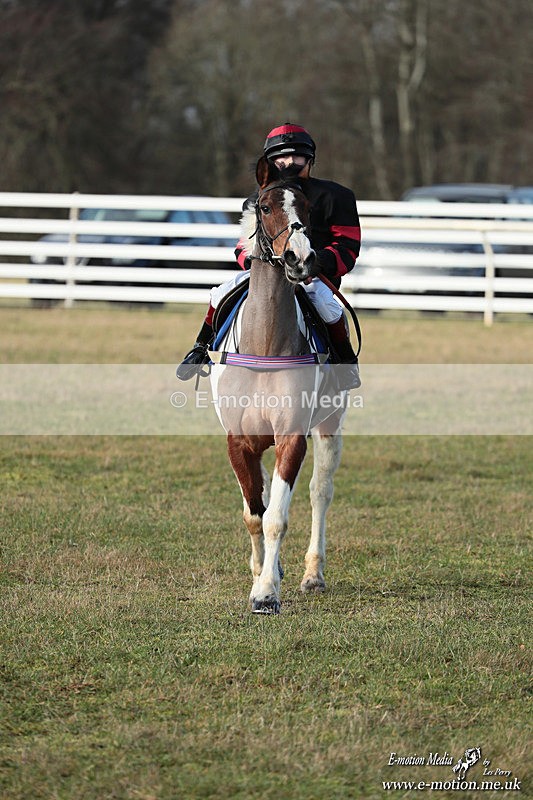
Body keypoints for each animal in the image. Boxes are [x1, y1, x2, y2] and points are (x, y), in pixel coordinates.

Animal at [211, 156, 347, 615]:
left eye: (306, 209)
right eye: (266, 207)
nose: (299, 258)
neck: (266, 343)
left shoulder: (292, 437)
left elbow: (276, 517)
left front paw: (267, 592)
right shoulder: (238, 440)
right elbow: (255, 512)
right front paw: (261, 574)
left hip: (330, 425)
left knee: (320, 493)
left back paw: (313, 574)